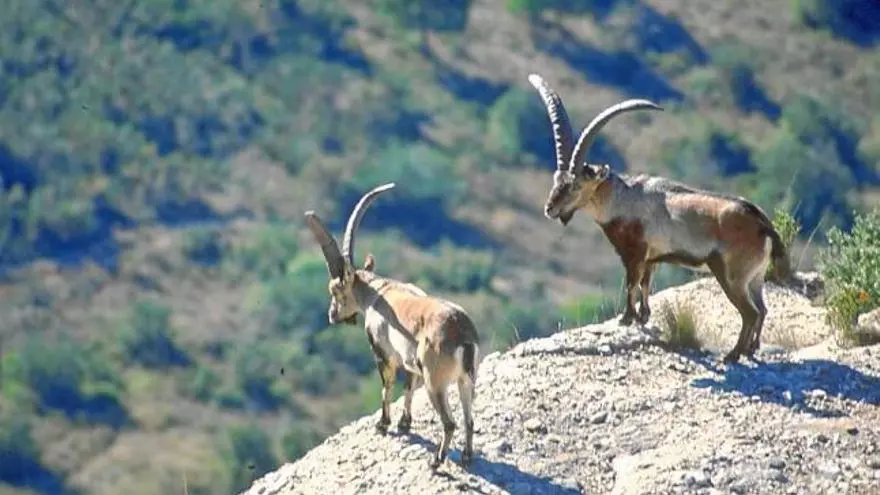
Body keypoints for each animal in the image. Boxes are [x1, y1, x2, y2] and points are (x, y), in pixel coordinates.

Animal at [304, 183, 481, 468]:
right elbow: (407, 388)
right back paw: (466, 456)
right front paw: (404, 423)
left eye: (335, 289)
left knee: (450, 422)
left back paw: (436, 461)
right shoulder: (410, 363)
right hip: (467, 379)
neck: (378, 293)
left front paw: (383, 424)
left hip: (436, 381)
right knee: (469, 418)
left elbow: (386, 386)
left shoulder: (384, 354)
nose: (332, 315)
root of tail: (463, 335)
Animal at [527, 73, 793, 363]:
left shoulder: (634, 252)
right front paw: (643, 317)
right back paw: (751, 349)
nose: (550, 209)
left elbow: (631, 283)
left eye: (575, 185)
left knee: (750, 313)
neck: (623, 200)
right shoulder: (652, 257)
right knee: (762, 309)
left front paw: (627, 319)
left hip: (732, 274)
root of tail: (763, 225)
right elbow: (645, 284)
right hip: (755, 276)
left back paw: (733, 355)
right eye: (556, 179)